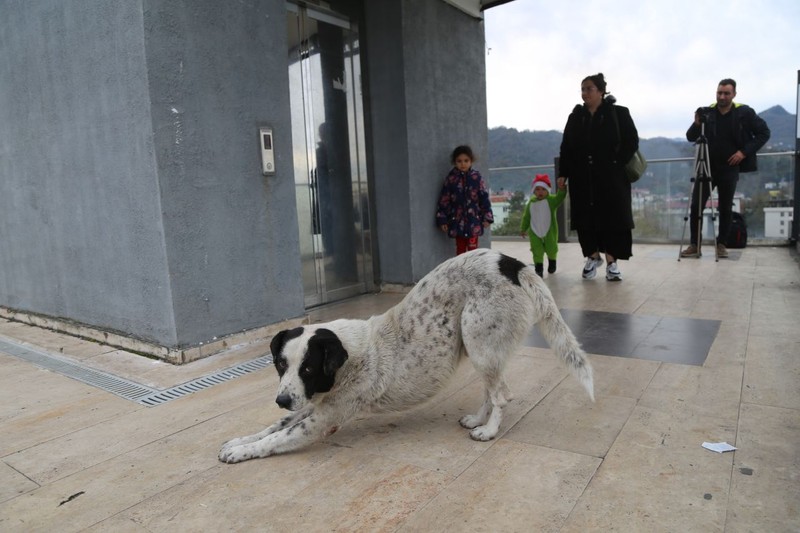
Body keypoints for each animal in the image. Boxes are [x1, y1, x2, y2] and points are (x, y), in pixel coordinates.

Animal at [220, 248, 592, 462]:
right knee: (491, 390)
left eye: (309, 369)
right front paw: (239, 440)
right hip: (483, 351)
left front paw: (241, 452)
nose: (281, 399)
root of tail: (512, 263)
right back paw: (477, 420)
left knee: (502, 394)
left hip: (480, 342)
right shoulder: (312, 404)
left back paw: (488, 431)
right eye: (280, 365)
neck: (348, 357)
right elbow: (272, 427)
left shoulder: (321, 420)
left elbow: (275, 439)